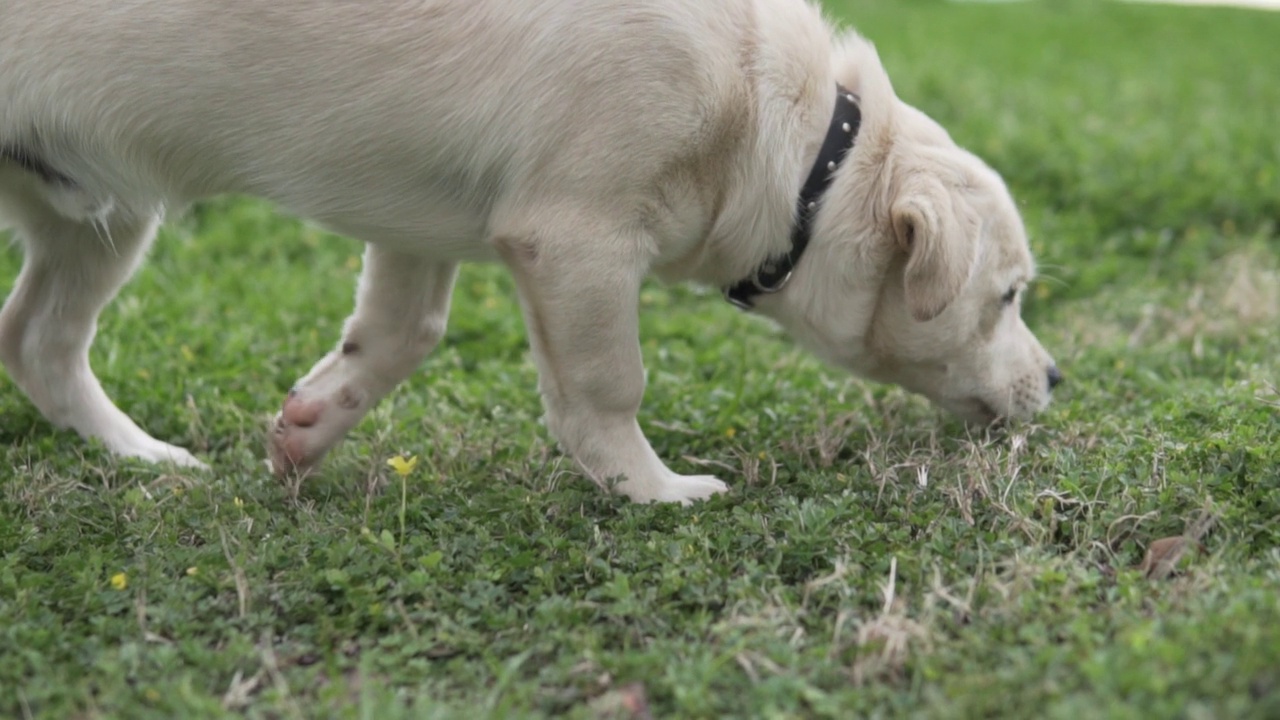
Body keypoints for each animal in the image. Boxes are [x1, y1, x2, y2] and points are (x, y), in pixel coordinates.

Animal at [0, 0, 1059, 502]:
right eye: (1009, 297)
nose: (1058, 379)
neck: (804, 149)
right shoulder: (578, 237)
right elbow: (606, 385)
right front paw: (652, 492)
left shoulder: (414, 224)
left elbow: (400, 333)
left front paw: (308, 428)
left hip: (96, 219)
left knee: (39, 341)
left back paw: (141, 455)